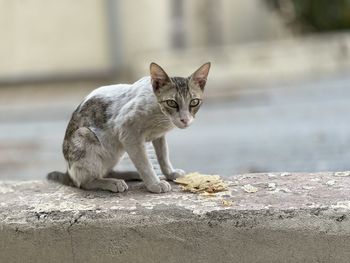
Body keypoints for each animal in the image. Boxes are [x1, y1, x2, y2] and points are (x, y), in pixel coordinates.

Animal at [46, 62, 211, 194]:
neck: (160, 117)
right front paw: (154, 184)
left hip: (115, 152)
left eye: (194, 102)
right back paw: (112, 183)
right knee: (84, 182)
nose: (185, 120)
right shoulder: (128, 134)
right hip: (85, 136)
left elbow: (163, 156)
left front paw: (170, 173)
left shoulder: (159, 136)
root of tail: (68, 172)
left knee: (107, 171)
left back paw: (130, 175)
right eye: (171, 103)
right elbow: (145, 164)